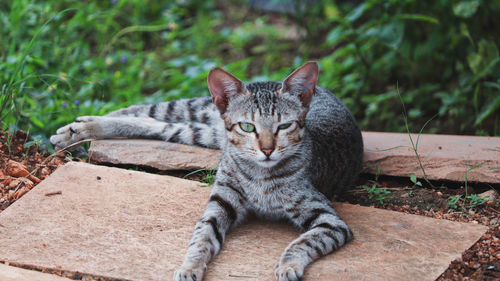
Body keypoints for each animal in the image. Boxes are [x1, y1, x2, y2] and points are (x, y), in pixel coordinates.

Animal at [50, 61, 364, 280]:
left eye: (284, 126)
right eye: (247, 126)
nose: (267, 150)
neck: (259, 177)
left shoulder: (330, 220)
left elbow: (303, 242)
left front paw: (288, 265)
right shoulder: (220, 203)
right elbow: (200, 238)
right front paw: (189, 266)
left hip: (199, 132)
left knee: (153, 123)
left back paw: (82, 127)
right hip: (198, 112)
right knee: (146, 109)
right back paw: (74, 126)